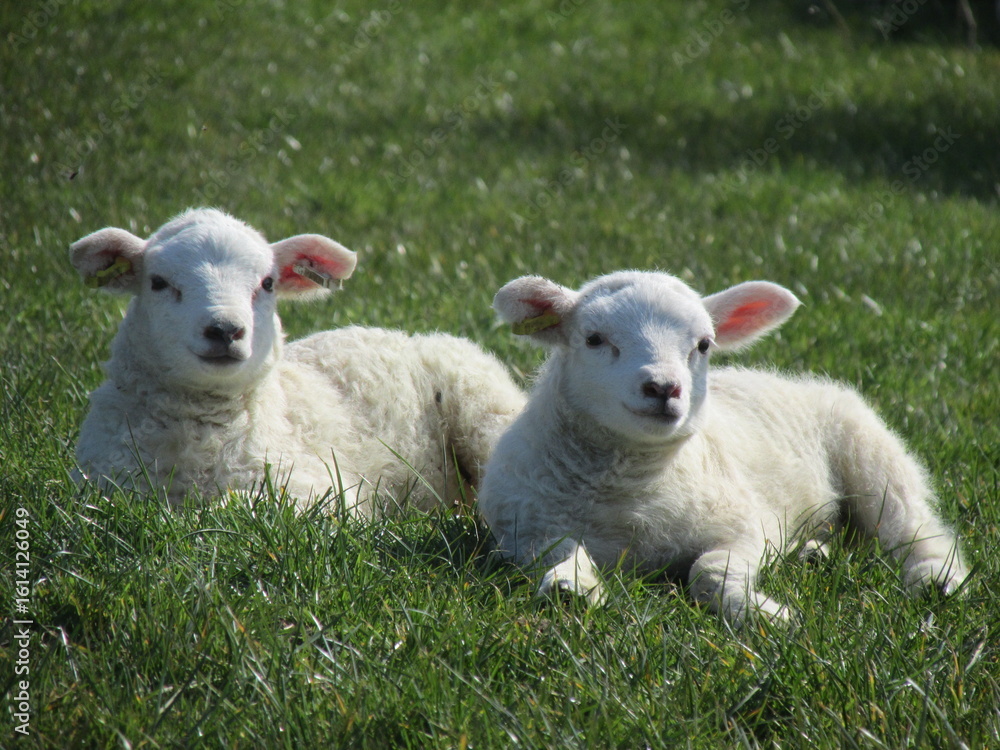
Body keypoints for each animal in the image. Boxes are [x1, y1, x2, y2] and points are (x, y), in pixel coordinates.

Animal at [70, 208, 525, 515]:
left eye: (268, 283)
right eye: (159, 283)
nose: (225, 330)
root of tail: (411, 336)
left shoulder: (317, 492)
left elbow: (232, 509)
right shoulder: (103, 487)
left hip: (485, 409)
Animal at [477, 270, 968, 625]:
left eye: (704, 344)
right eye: (594, 339)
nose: (664, 388)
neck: (632, 493)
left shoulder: (744, 529)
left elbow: (708, 572)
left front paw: (766, 615)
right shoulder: (528, 531)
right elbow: (562, 552)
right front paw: (570, 587)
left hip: (872, 453)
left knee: (912, 527)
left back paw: (936, 579)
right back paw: (813, 554)